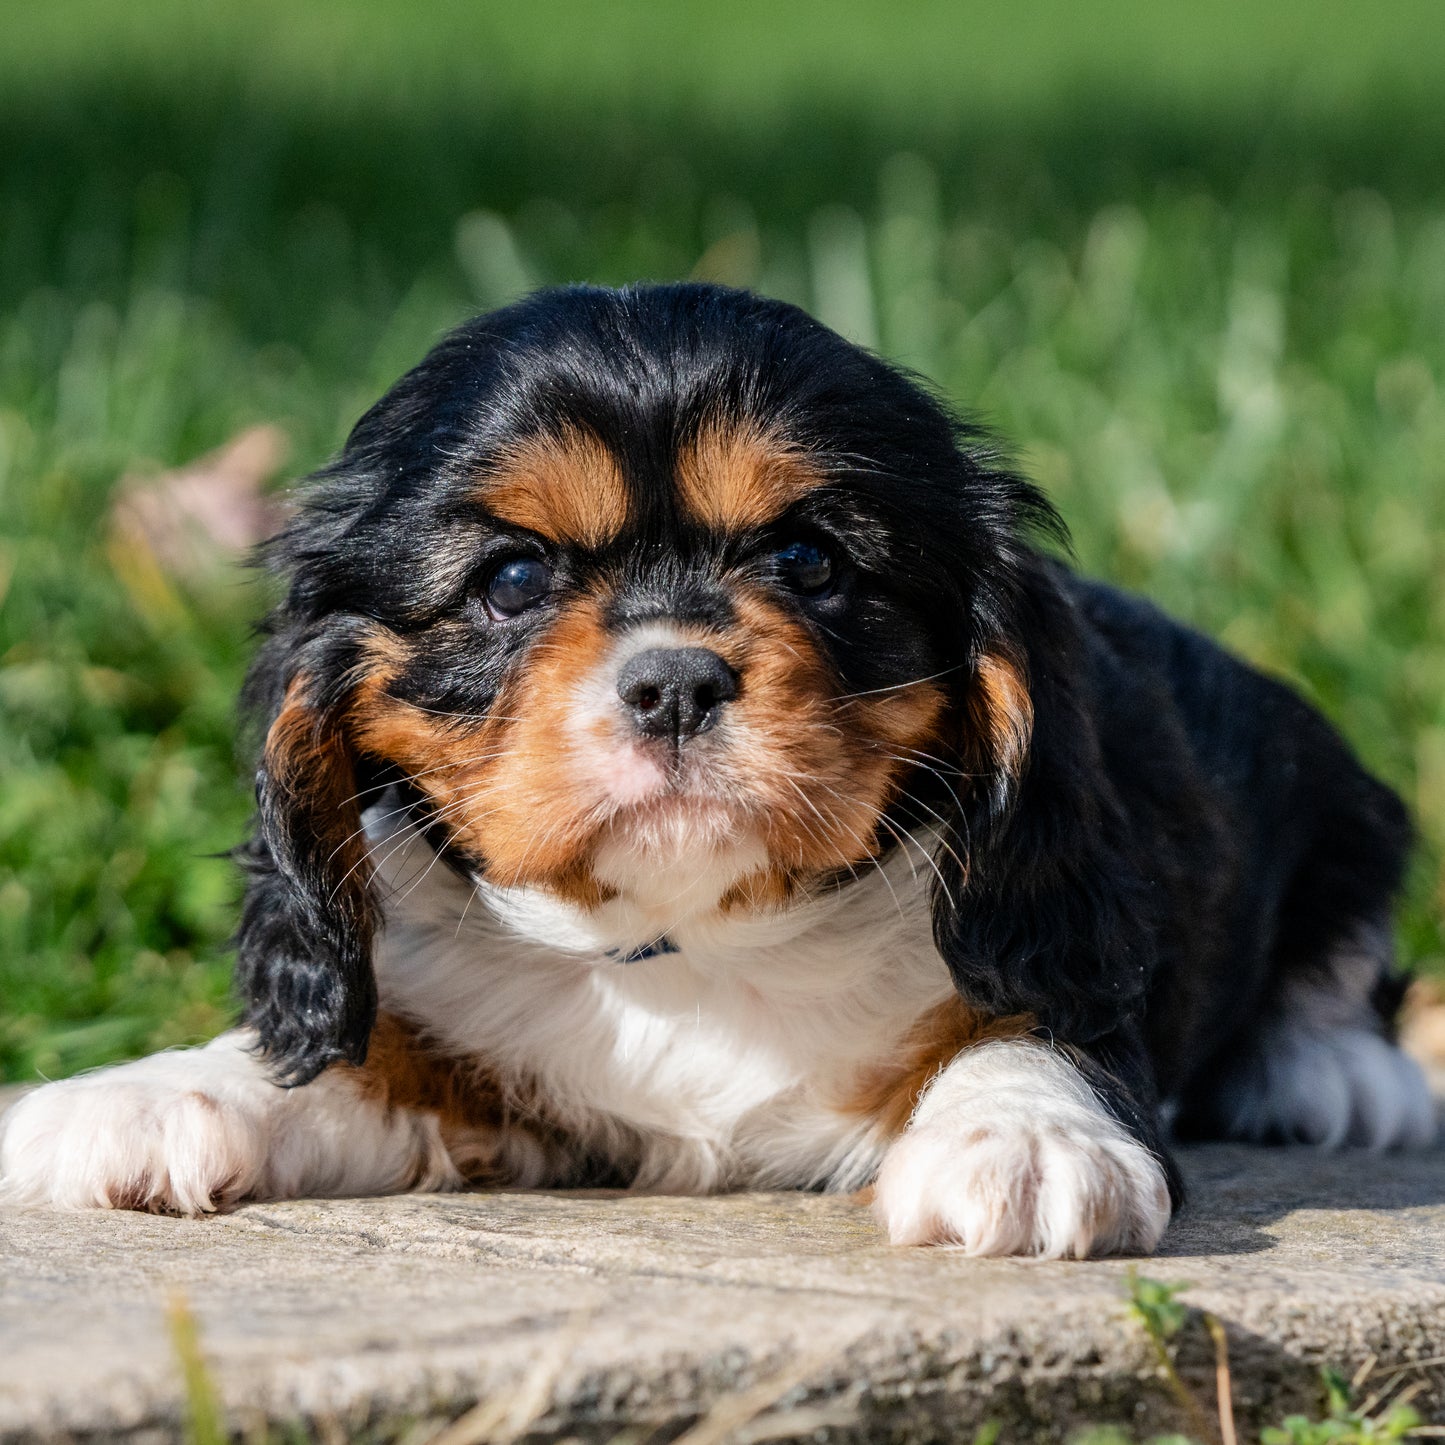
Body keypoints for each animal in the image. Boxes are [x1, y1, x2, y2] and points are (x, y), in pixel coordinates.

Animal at [0, 281, 1433, 1254]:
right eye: (510, 579)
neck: (689, 949)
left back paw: (1333, 1073)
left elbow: (1023, 1019)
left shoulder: (1047, 937)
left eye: (806, 560)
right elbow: (359, 1057)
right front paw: (153, 1090)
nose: (674, 678)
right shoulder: (482, 1081)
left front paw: (1023, 1134)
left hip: (1335, 792)